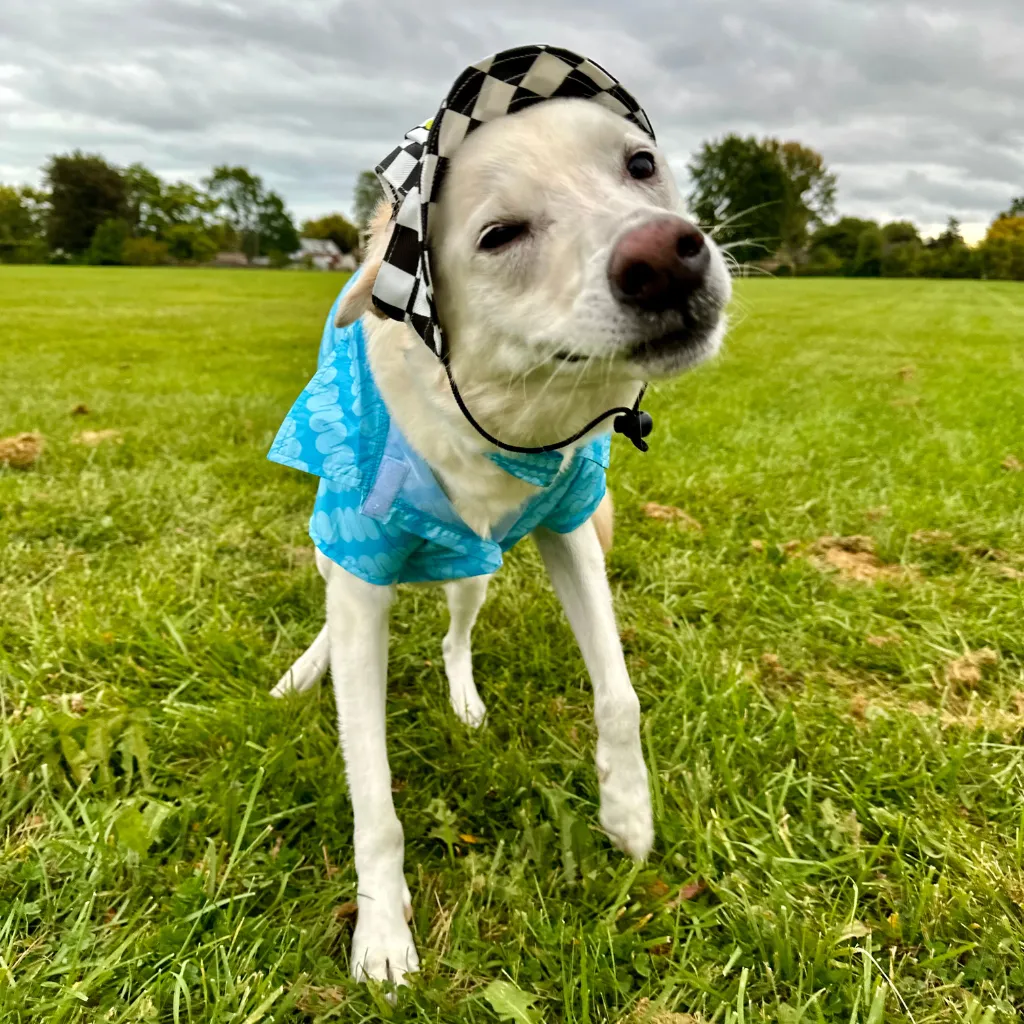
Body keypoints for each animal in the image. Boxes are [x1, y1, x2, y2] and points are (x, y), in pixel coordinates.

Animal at [268, 51, 733, 987]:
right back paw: (305, 674)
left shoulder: (573, 534)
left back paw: (466, 701)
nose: (666, 258)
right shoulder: (360, 566)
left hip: (472, 573)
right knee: (337, 618)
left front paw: (627, 815)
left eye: (640, 165)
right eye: (498, 236)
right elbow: (372, 793)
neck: (502, 416)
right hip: (344, 551)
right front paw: (383, 938)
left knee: (455, 637)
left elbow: (618, 693)